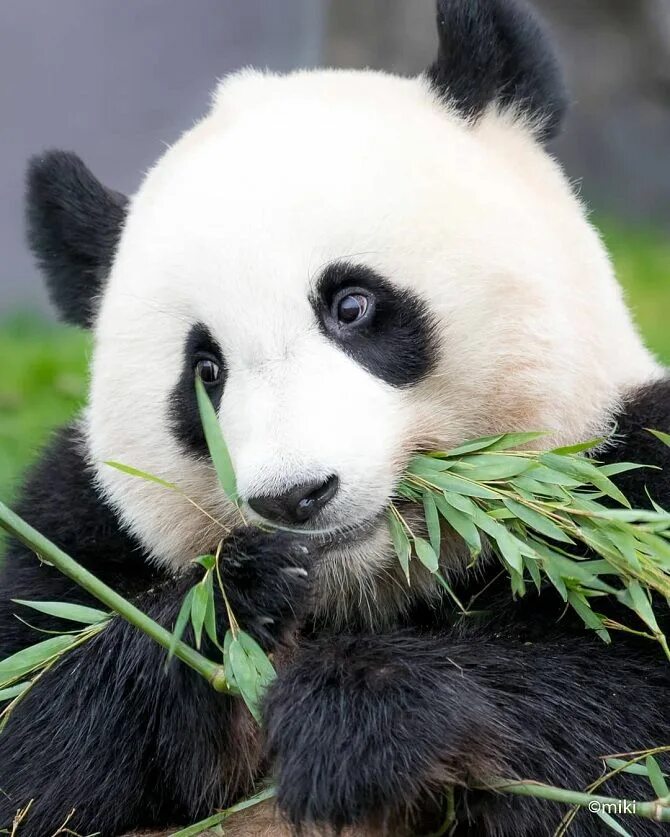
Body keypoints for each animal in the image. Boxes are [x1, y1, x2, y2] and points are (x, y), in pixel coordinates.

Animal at [1, 0, 670, 834]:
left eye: (352, 304)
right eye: (205, 371)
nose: (296, 496)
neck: (365, 592)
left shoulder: (630, 478)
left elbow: (618, 729)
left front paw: (360, 716)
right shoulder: (71, 534)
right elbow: (36, 740)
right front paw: (238, 593)